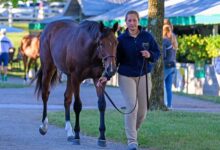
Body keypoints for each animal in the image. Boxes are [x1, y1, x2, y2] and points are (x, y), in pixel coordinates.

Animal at [33, 19, 118, 147]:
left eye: (116, 43)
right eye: (101, 43)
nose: (111, 69)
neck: (88, 50)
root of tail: (48, 27)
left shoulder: (98, 78)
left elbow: (102, 104)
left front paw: (102, 137)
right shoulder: (76, 78)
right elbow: (77, 105)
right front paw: (77, 135)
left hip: (69, 76)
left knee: (67, 98)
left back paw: (69, 132)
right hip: (49, 68)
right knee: (45, 94)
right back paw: (44, 126)